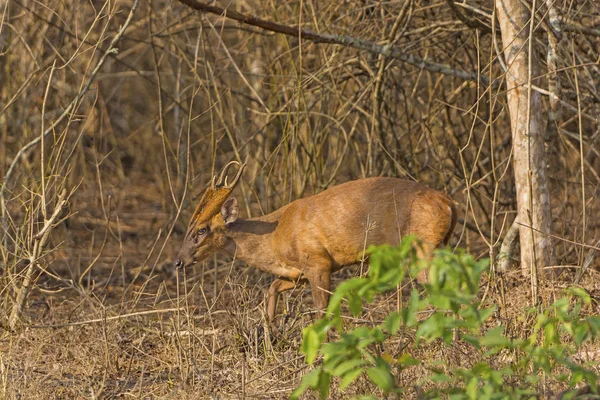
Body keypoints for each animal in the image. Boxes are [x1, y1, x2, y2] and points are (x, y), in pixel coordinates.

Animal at [176, 162, 458, 322]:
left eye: (201, 230)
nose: (179, 262)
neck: (275, 238)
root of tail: (450, 203)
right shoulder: (297, 273)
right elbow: (272, 288)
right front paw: (270, 333)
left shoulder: (318, 261)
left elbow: (323, 309)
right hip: (438, 245)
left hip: (422, 247)